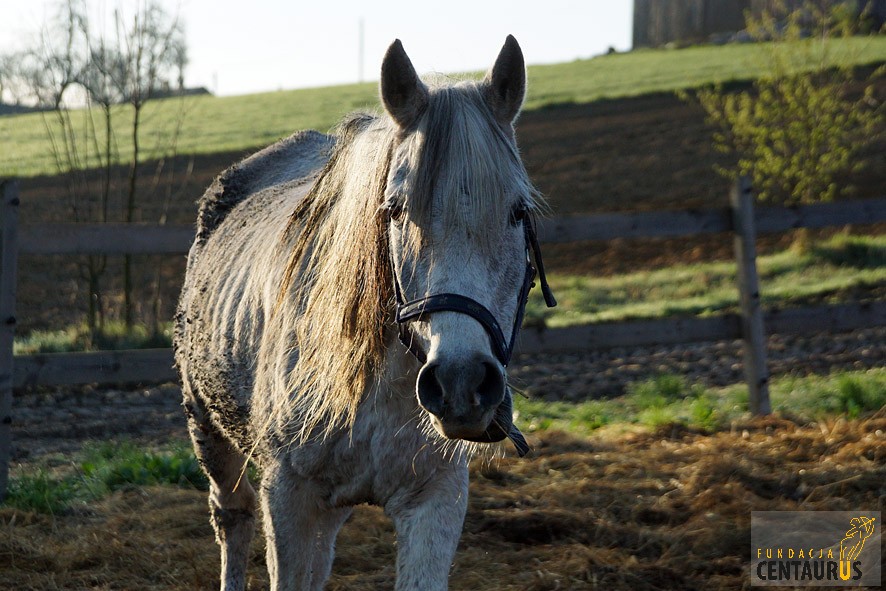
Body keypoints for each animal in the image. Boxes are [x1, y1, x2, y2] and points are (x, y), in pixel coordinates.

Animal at [173, 34, 556, 588]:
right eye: (394, 210)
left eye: (518, 212)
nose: (461, 383)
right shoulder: (289, 500)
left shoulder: (436, 498)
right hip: (208, 432)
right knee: (232, 518)